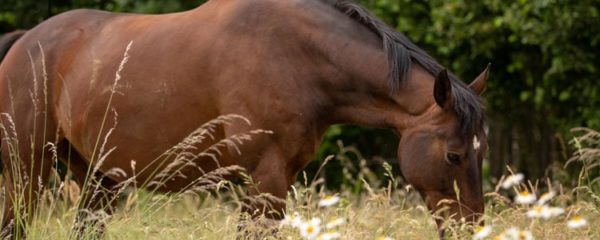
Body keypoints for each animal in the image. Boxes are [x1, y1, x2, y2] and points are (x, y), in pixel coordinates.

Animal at [0, 0, 488, 238]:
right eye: (454, 155)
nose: (472, 230)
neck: (299, 57)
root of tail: (25, 42)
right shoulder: (265, 179)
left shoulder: (279, 179)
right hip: (28, 171)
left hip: (99, 178)